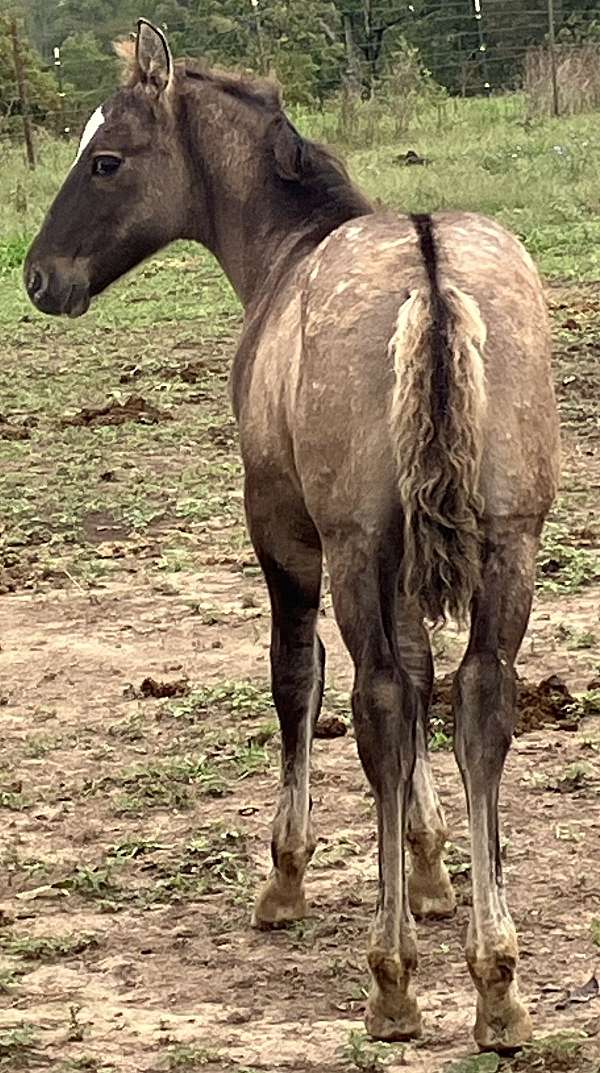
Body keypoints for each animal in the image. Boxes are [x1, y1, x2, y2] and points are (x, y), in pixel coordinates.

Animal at [23, 18, 558, 1055]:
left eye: (106, 161)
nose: (37, 277)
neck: (286, 258)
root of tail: (431, 271)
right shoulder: (410, 554)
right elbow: (424, 673)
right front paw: (431, 873)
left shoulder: (284, 529)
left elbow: (298, 681)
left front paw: (287, 873)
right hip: (510, 542)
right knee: (480, 699)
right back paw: (498, 987)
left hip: (349, 546)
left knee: (377, 701)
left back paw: (392, 985)